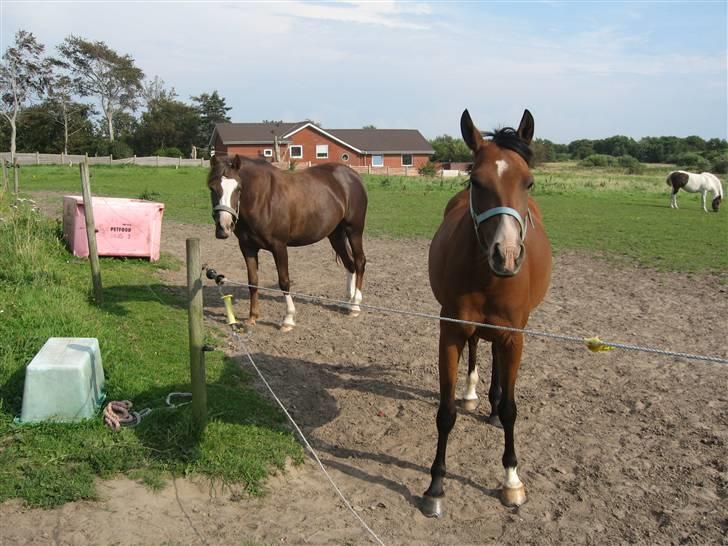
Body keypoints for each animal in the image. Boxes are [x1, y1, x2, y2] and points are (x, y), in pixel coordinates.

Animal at [209, 155, 370, 330]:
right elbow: (253, 281)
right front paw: (252, 317)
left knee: (359, 262)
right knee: (350, 264)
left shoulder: (279, 246)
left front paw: (288, 319)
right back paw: (347, 302)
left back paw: (355, 305)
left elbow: (284, 281)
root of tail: (353, 175)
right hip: (336, 235)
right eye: (212, 188)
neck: (262, 198)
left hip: (354, 230)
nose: (223, 227)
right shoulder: (247, 248)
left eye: (238, 188)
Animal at [420, 109, 552, 516]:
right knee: (479, 347)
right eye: (476, 182)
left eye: (529, 182)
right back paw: (473, 393)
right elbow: (446, 413)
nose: (506, 255)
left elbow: (511, 408)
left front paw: (511, 481)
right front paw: (435, 486)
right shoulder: (450, 333)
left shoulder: (514, 337)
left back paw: (491, 406)